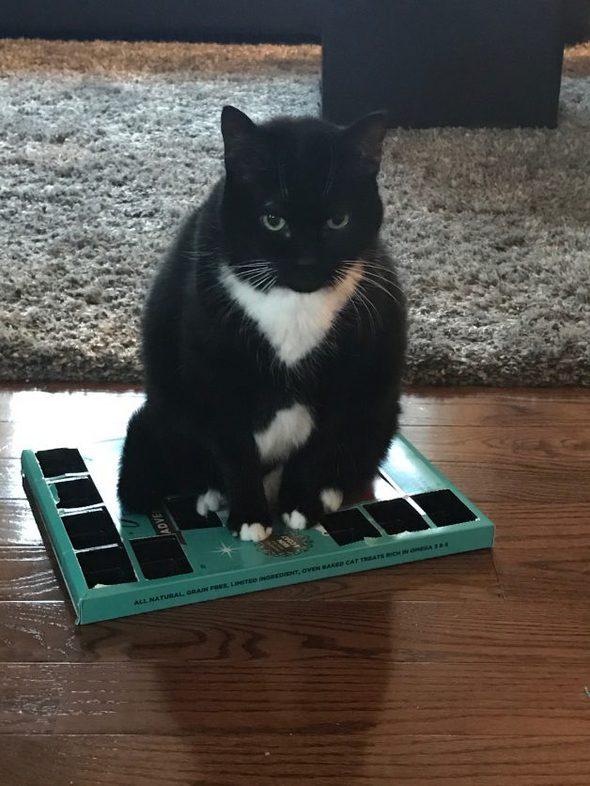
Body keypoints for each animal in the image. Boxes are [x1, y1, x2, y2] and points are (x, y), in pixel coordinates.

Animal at [119, 105, 408, 540]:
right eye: (273, 220)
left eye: (338, 220)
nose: (306, 263)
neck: (293, 306)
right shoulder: (214, 375)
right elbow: (235, 451)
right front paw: (250, 516)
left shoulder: (348, 374)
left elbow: (319, 446)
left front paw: (302, 505)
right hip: (168, 404)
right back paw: (212, 495)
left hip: (381, 405)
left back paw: (328, 493)